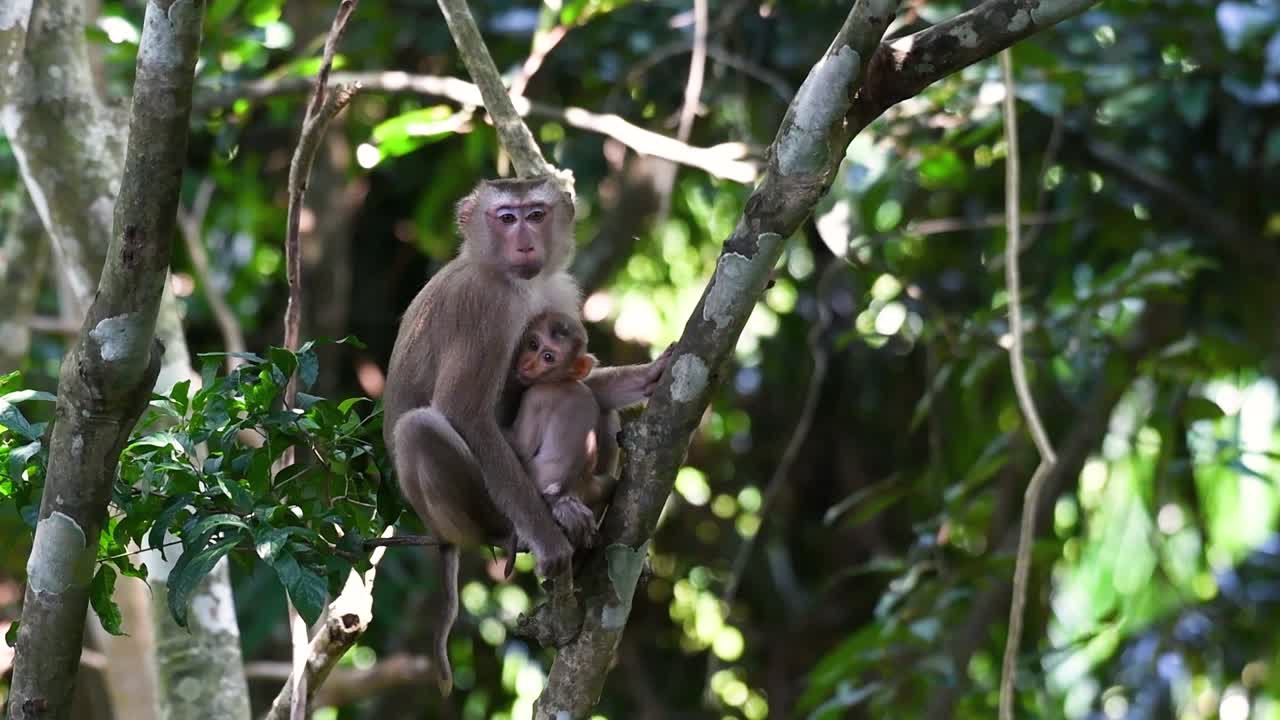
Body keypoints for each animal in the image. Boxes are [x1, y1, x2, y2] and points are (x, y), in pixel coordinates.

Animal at [382, 176, 671, 696]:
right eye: (506, 218)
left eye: (535, 214)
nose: (524, 242)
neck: (518, 281)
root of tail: (438, 533)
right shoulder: (485, 306)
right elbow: (464, 412)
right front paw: (548, 540)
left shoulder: (558, 290)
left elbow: (584, 377)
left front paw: (649, 375)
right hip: (475, 508)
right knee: (420, 428)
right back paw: (524, 524)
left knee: (588, 404)